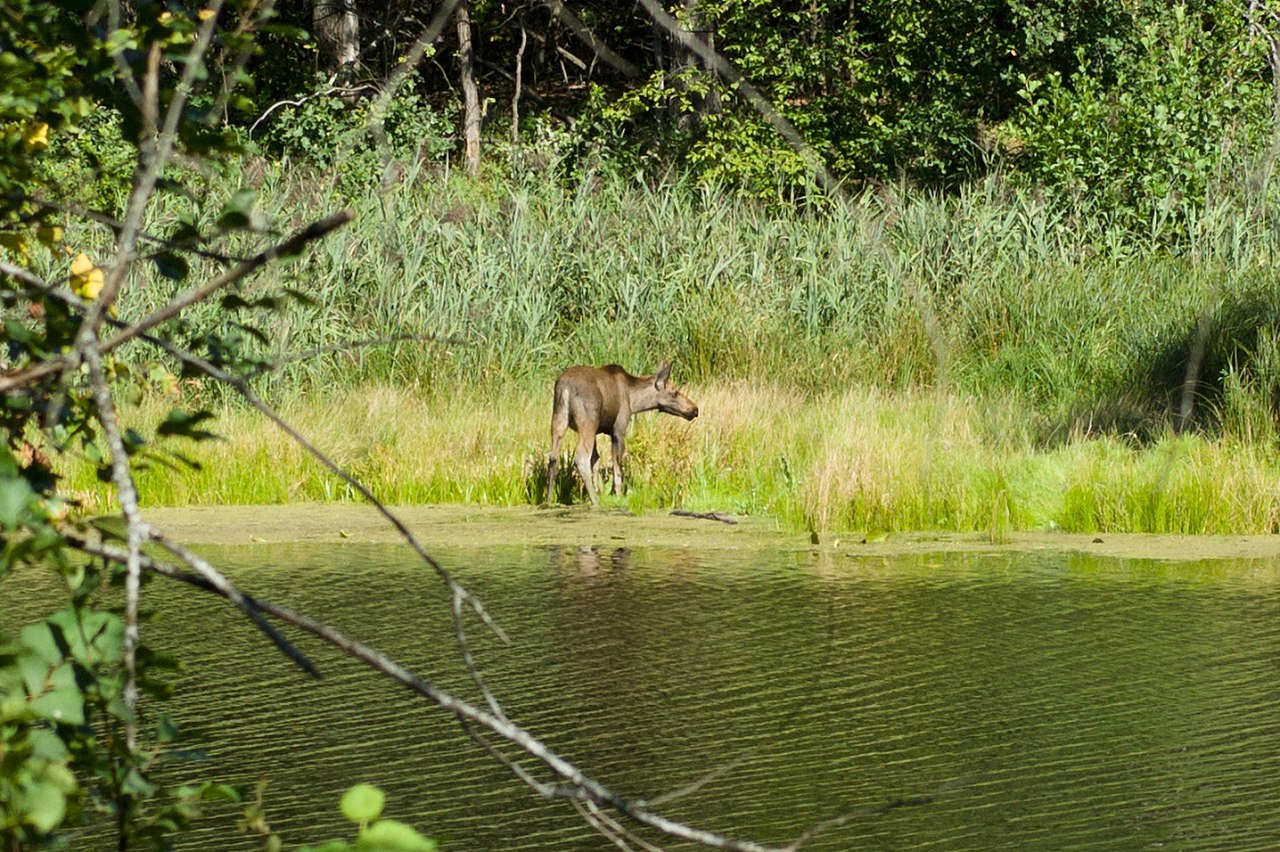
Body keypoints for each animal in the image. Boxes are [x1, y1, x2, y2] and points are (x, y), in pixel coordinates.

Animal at [542, 358, 696, 504]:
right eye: (675, 392)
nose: (695, 409)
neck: (634, 400)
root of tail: (565, 387)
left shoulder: (598, 432)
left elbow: (596, 461)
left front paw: (600, 490)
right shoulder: (618, 429)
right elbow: (617, 465)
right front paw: (618, 495)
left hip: (558, 419)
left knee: (553, 458)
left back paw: (549, 501)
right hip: (588, 422)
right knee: (580, 458)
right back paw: (595, 501)